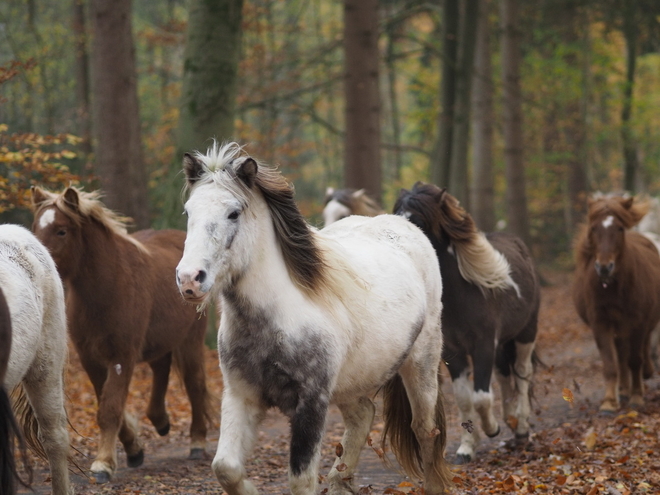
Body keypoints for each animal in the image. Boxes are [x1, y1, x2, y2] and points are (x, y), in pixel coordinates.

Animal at [31, 187, 211, 484]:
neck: (107, 287)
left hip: (190, 342)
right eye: (36, 227)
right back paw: (160, 421)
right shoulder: (91, 359)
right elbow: (106, 405)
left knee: (195, 384)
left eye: (61, 231)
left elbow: (111, 408)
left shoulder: (122, 356)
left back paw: (197, 443)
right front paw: (133, 450)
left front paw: (103, 463)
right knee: (161, 369)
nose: (40, 265)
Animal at [178, 143, 452, 495]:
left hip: (421, 364)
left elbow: (301, 479)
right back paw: (339, 482)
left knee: (424, 429)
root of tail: (405, 225)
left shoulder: (311, 403)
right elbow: (225, 468)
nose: (189, 279)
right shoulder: (241, 395)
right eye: (189, 212)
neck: (278, 318)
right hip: (354, 380)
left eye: (234, 213)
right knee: (363, 415)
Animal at [394, 183, 540, 464]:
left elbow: (481, 397)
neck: (462, 294)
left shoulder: (483, 345)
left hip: (526, 334)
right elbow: (464, 399)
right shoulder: (454, 352)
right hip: (502, 343)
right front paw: (466, 448)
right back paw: (511, 419)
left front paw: (491, 429)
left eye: (419, 222)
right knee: (504, 374)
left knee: (523, 372)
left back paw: (521, 428)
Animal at [572, 196, 660, 412]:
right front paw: (609, 402)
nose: (604, 267)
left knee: (642, 348)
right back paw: (623, 389)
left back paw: (644, 374)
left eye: (619, 228)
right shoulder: (600, 323)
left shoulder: (638, 323)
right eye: (593, 228)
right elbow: (611, 364)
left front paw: (637, 397)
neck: (612, 286)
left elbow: (635, 360)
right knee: (621, 355)